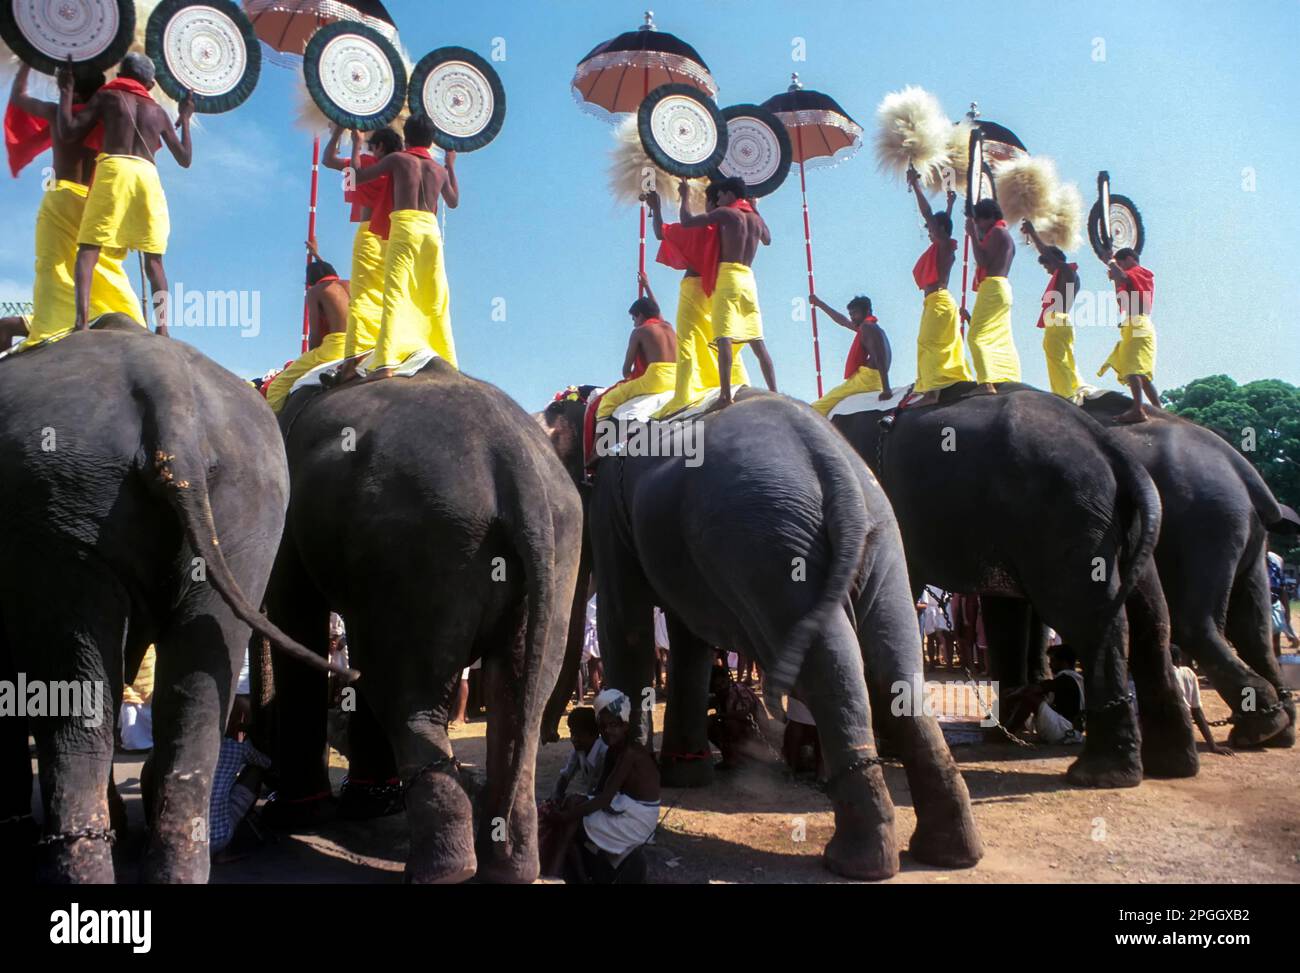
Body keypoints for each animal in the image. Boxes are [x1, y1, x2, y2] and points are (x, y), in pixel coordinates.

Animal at [257, 361, 579, 884]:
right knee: (517, 701)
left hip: (421, 544)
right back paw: (509, 867)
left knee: (406, 694)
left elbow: (296, 611)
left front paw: (292, 816)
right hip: (556, 546)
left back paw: (442, 872)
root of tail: (516, 462)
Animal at [540, 387, 982, 879]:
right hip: (877, 538)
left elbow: (629, 627)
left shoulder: (610, 515)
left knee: (830, 667)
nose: (555, 734)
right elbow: (687, 636)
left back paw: (856, 861)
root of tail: (832, 462)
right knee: (893, 661)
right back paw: (949, 853)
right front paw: (684, 776)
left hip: (766, 540)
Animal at [832, 385, 1196, 785]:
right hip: (1103, 523)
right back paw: (1173, 766)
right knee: (1152, 618)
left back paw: (1099, 774)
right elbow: (1005, 610)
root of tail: (1113, 451)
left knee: (1092, 619)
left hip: (1065, 512)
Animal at [1076, 387, 1300, 744]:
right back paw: (1280, 730)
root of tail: (1240, 466)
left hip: (1203, 520)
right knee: (1254, 627)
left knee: (1195, 622)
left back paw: (1256, 729)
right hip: (1241, 530)